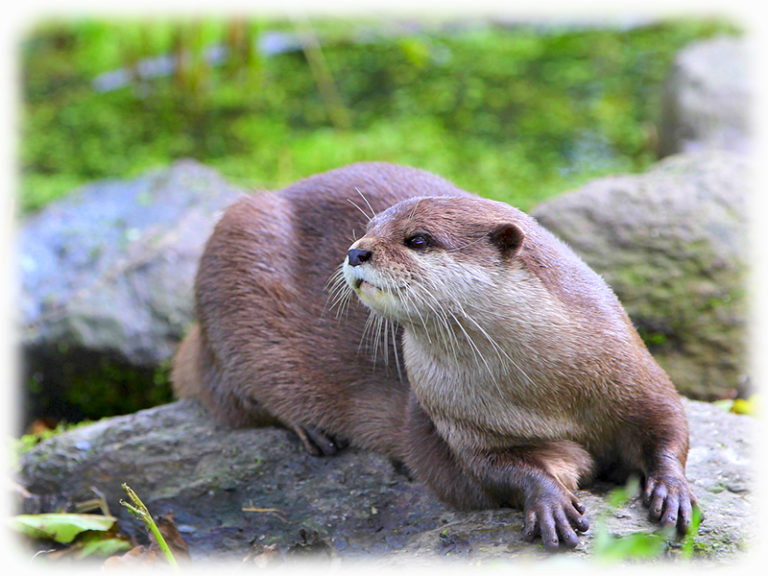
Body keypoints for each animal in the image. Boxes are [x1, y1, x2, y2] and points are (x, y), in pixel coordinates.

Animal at [172, 162, 697, 550]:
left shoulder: (635, 369)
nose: (356, 251)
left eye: (418, 239)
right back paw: (312, 429)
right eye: (367, 228)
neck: (553, 388)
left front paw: (672, 491)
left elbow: (669, 426)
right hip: (235, 254)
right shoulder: (461, 425)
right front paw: (549, 500)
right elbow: (497, 472)